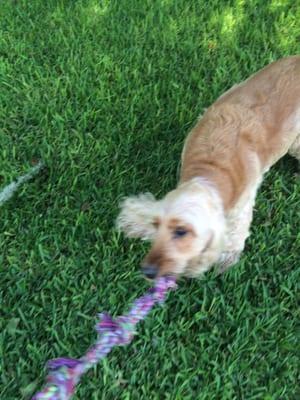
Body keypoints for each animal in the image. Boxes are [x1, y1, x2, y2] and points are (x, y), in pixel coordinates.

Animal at [116, 55, 300, 278]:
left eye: (181, 231)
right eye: (157, 224)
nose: (147, 271)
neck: (211, 169)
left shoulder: (242, 205)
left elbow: (236, 234)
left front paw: (225, 261)